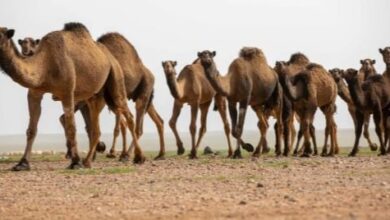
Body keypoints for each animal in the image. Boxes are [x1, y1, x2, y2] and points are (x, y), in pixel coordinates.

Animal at [0, 22, 145, 170]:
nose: (25, 51)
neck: (45, 64)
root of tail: (111, 57)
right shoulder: (34, 93)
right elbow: (31, 129)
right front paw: (22, 163)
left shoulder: (67, 92)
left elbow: (71, 127)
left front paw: (75, 162)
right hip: (97, 96)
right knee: (96, 127)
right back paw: (88, 161)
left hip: (116, 80)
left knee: (129, 116)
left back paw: (137, 157)